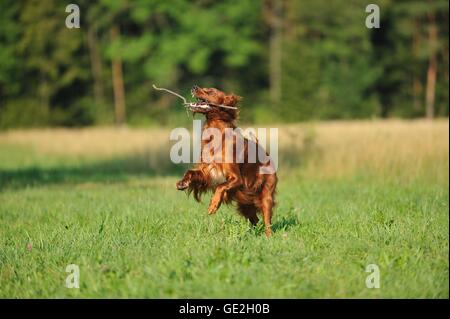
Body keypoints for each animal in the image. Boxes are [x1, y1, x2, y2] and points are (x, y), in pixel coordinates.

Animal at [176, 85, 278, 238]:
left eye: (211, 91)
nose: (194, 87)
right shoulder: (208, 171)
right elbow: (192, 172)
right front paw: (183, 182)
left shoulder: (236, 178)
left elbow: (220, 186)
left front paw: (213, 205)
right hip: (245, 203)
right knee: (255, 219)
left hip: (266, 196)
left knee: (267, 221)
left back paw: (269, 237)